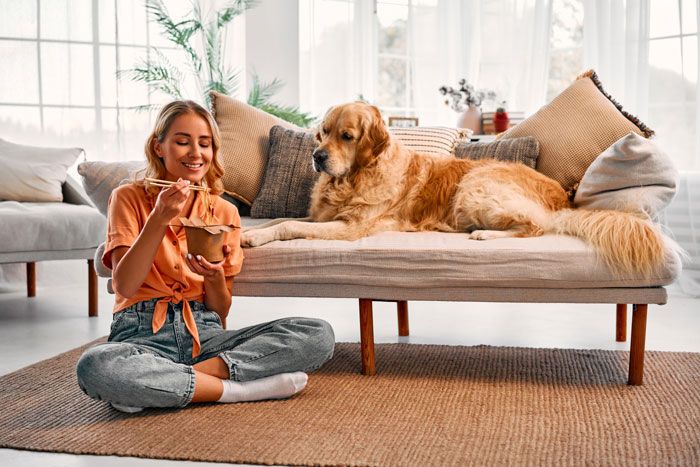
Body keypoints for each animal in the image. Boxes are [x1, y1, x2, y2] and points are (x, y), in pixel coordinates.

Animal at [243, 102, 668, 278]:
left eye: (346, 136)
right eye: (323, 132)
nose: (316, 157)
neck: (356, 177)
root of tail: (562, 196)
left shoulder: (350, 228)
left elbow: (289, 226)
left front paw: (257, 237)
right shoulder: (320, 215)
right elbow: (278, 220)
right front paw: (249, 233)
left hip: (475, 186)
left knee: (535, 227)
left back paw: (483, 234)